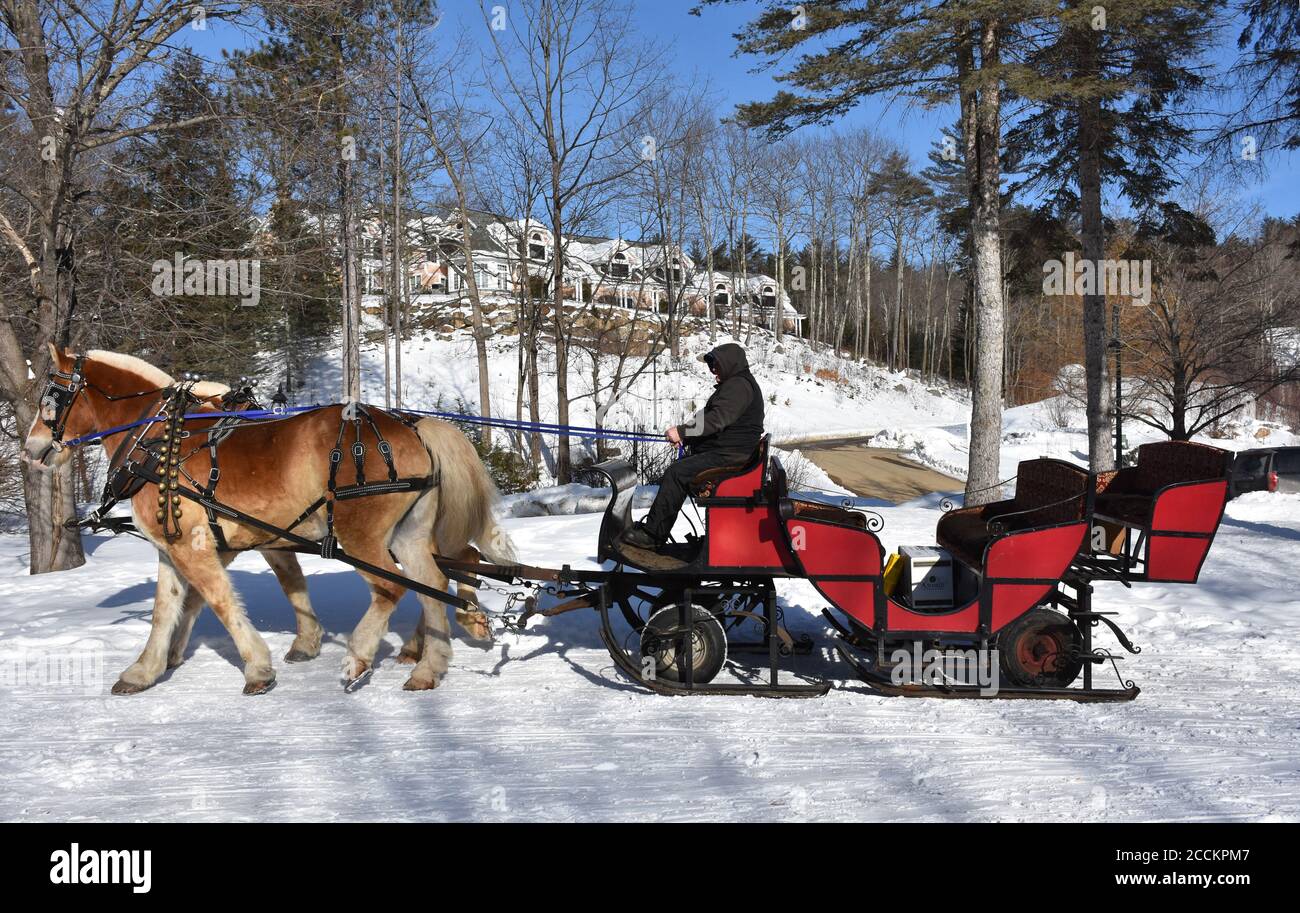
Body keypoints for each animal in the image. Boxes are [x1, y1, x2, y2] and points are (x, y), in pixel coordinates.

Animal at [22, 345, 515, 694]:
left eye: (51, 397)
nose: (31, 449)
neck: (158, 441)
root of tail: (412, 426)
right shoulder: (180, 546)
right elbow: (168, 610)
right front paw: (145, 670)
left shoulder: (195, 546)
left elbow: (221, 601)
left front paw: (258, 667)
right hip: (408, 535)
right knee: (432, 583)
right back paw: (430, 666)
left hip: (361, 535)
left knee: (393, 587)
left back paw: (360, 655)